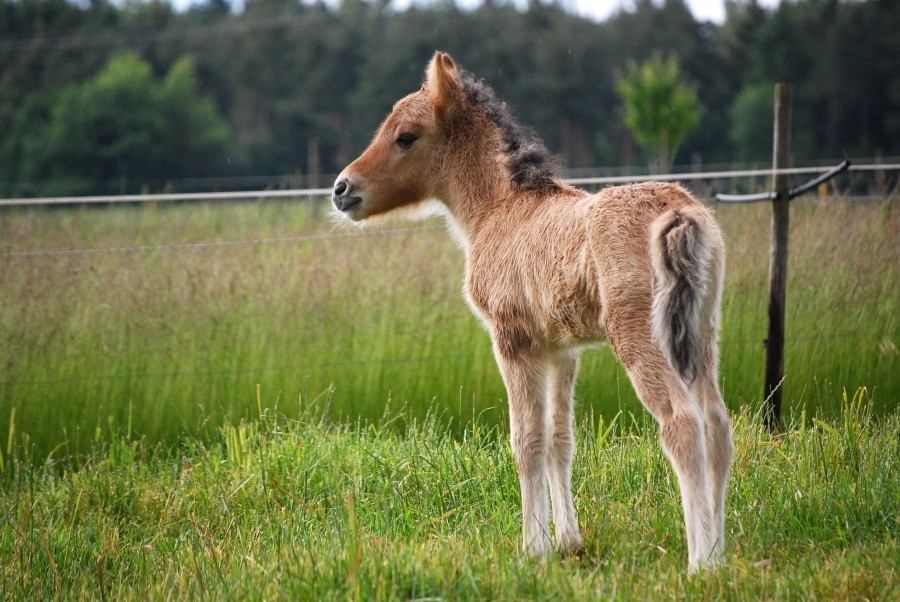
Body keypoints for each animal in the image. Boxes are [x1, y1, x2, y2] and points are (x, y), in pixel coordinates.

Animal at [330, 50, 732, 568]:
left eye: (406, 136)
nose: (342, 189)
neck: (500, 210)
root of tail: (679, 212)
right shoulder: (561, 349)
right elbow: (560, 439)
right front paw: (568, 543)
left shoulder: (512, 341)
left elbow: (526, 441)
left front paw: (532, 548)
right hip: (701, 332)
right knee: (717, 424)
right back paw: (722, 553)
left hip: (640, 335)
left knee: (682, 425)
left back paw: (700, 563)